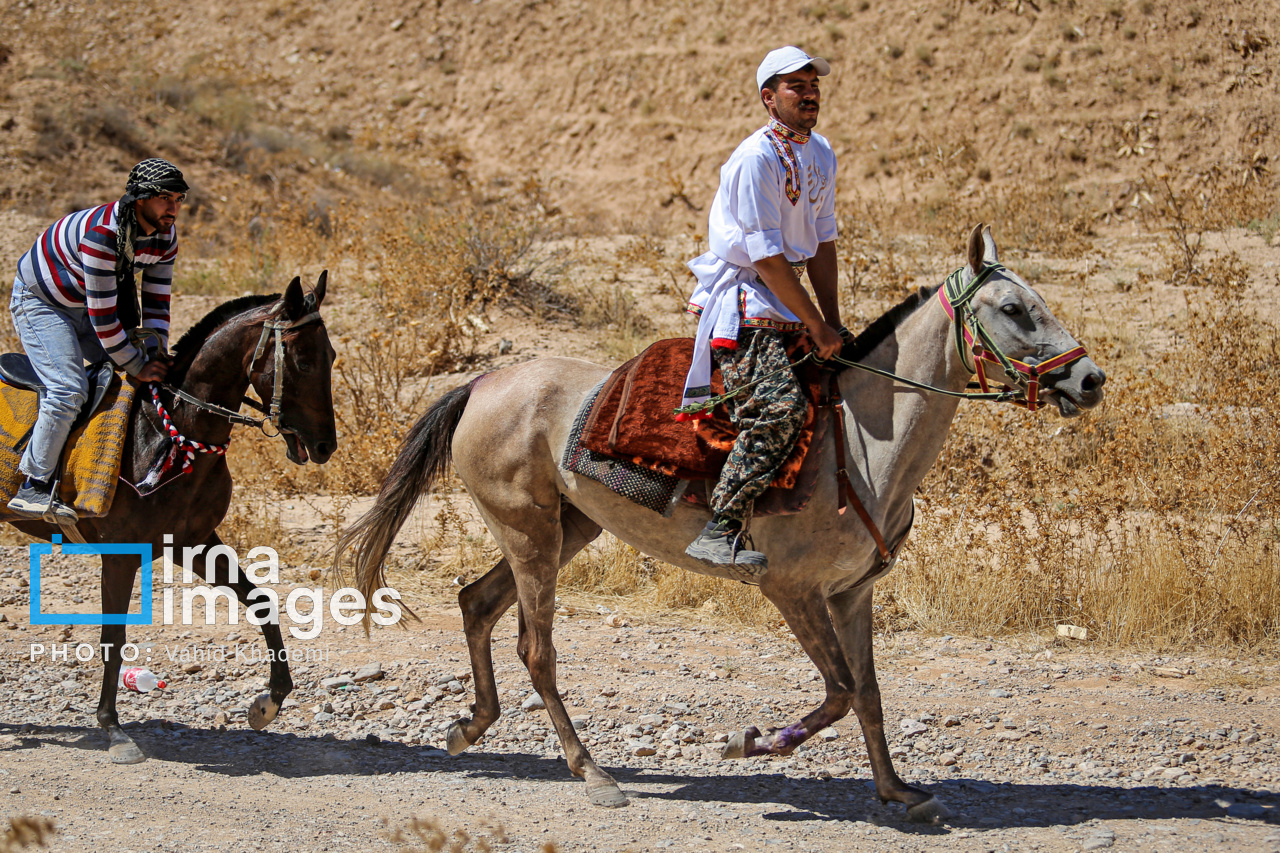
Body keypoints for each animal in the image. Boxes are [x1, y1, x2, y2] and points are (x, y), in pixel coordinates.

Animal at [10, 274, 337, 763]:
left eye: (331, 356)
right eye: (302, 360)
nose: (325, 446)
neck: (170, 432)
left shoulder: (193, 542)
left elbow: (260, 602)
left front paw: (269, 701)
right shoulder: (122, 555)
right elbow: (113, 638)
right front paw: (113, 728)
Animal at [335, 224, 1105, 819]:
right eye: (1014, 307)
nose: (1091, 379)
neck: (860, 440)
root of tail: (481, 383)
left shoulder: (852, 592)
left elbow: (869, 693)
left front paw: (896, 790)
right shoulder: (792, 590)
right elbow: (839, 692)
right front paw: (751, 741)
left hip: (566, 528)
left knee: (476, 602)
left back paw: (470, 727)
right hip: (531, 533)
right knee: (536, 647)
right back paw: (592, 771)